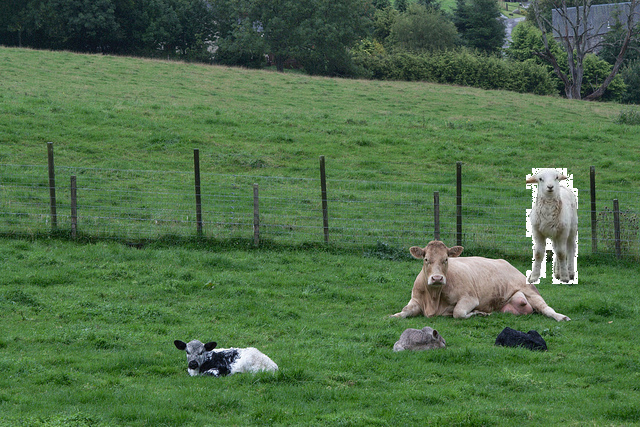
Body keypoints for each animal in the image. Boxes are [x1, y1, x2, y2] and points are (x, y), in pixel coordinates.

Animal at [391, 241, 570, 321]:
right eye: (426, 259)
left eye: (446, 259)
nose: (436, 278)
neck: (434, 298)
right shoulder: (415, 300)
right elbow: (404, 311)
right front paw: (393, 316)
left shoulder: (470, 298)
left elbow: (458, 313)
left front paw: (479, 313)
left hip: (530, 291)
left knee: (547, 308)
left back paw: (561, 317)